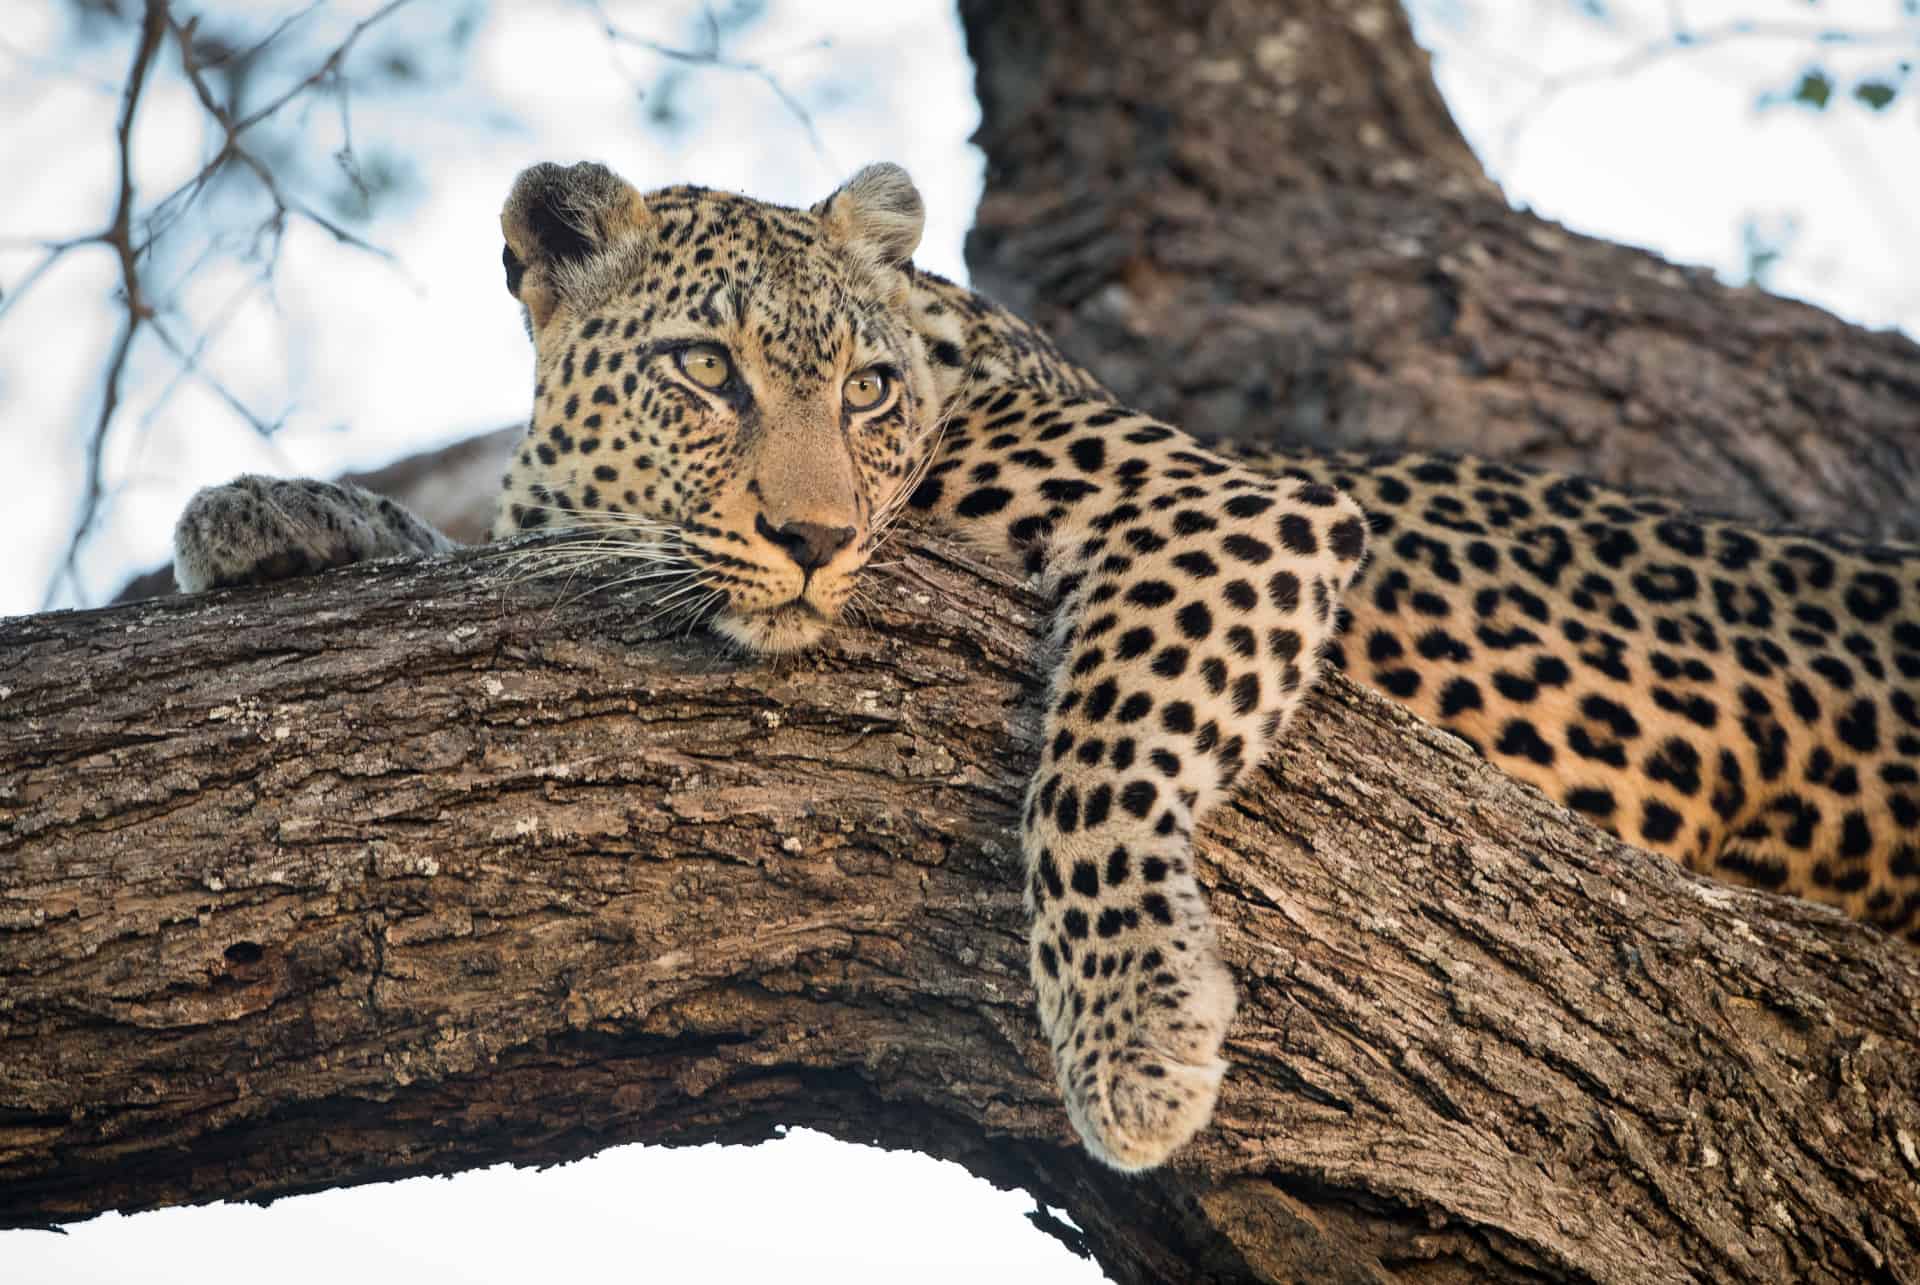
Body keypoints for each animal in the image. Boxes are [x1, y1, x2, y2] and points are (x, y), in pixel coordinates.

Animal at [172, 160, 1920, 1175]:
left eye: (867, 388)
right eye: (705, 372)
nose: (814, 539)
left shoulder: (1237, 511)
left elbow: (1099, 770)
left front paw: (1137, 1041)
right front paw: (271, 514)